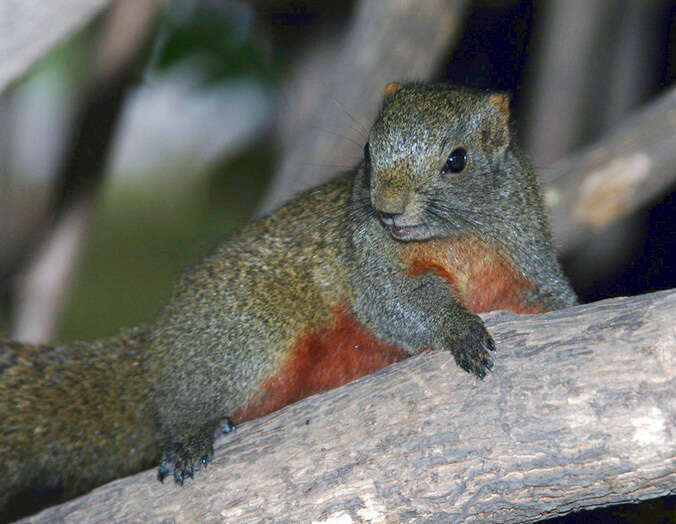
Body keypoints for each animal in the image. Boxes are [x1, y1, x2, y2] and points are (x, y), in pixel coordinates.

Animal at [1, 83, 580, 520]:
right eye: (368, 153)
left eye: (456, 161)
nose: (387, 206)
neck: (459, 239)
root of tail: (153, 354)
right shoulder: (369, 256)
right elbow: (396, 304)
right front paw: (459, 328)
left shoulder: (526, 254)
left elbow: (550, 298)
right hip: (245, 339)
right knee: (187, 400)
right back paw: (193, 431)